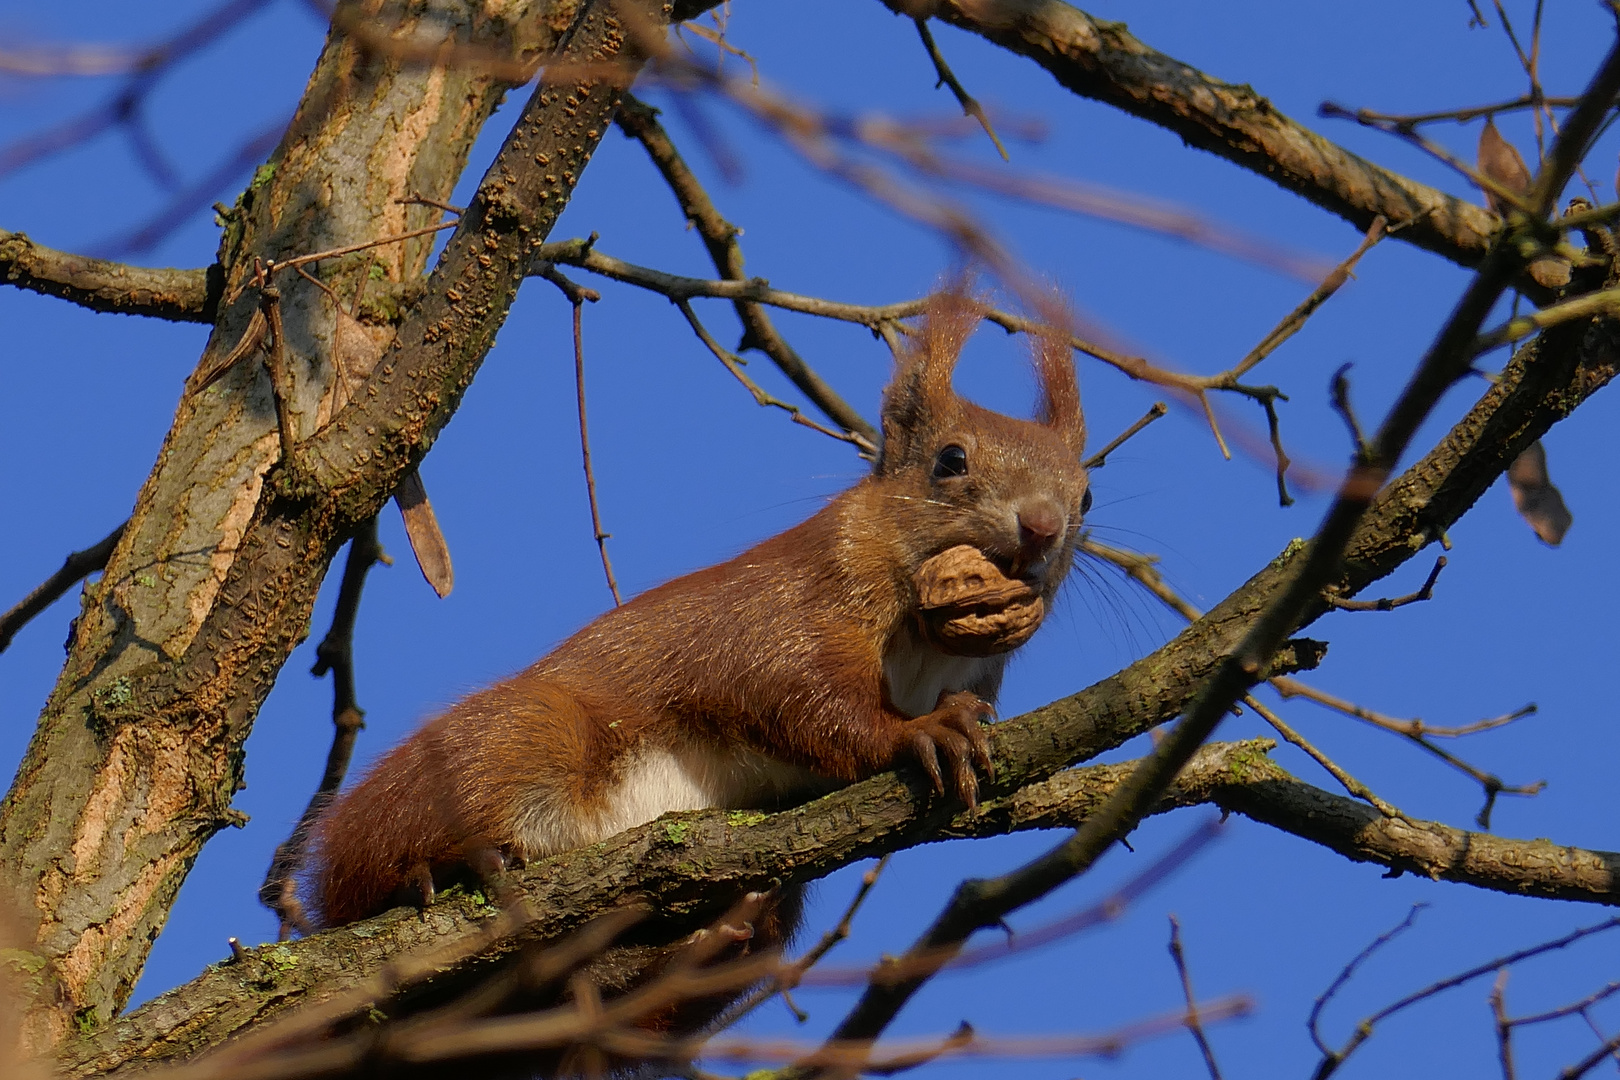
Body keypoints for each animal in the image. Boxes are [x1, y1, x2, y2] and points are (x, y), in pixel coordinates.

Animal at [306, 296, 1088, 932]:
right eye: (950, 460)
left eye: (1085, 497)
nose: (1043, 527)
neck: (927, 646)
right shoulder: (783, 608)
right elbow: (797, 696)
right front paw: (919, 731)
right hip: (513, 739)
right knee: (360, 876)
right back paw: (434, 870)